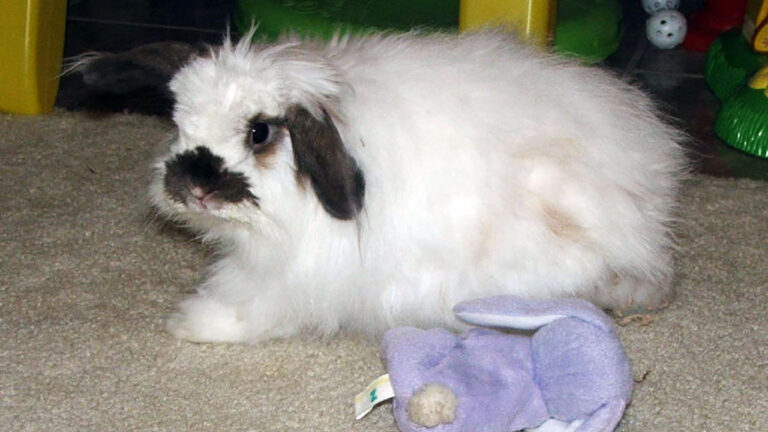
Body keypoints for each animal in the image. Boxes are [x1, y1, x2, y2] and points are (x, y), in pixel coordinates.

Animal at [148, 29, 686, 343]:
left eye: (259, 132)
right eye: (179, 125)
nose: (190, 187)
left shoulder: (287, 276)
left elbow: (248, 307)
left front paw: (188, 324)